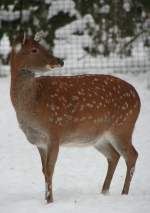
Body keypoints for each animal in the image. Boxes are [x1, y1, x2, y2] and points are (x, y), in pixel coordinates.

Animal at [10, 32, 141, 203]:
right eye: (34, 50)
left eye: (42, 46)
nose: (60, 60)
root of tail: (138, 97)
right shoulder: (39, 141)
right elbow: (44, 170)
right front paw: (46, 199)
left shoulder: (54, 132)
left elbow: (50, 169)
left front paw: (50, 201)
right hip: (98, 137)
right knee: (114, 155)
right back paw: (104, 192)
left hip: (123, 126)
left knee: (132, 155)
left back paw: (124, 193)